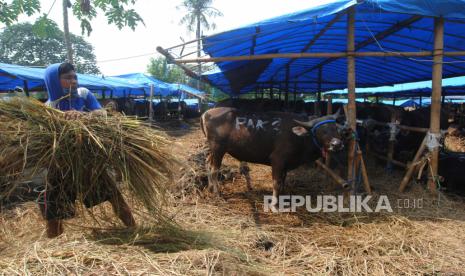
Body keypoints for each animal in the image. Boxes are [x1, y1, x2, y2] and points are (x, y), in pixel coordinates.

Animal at [200, 106, 344, 201]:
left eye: (336, 128)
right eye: (320, 131)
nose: (337, 144)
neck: (299, 137)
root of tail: (206, 113)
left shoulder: (286, 164)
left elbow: (283, 180)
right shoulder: (277, 159)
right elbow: (276, 182)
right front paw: (275, 205)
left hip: (213, 149)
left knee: (207, 163)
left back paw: (210, 188)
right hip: (218, 148)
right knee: (214, 169)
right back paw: (218, 194)